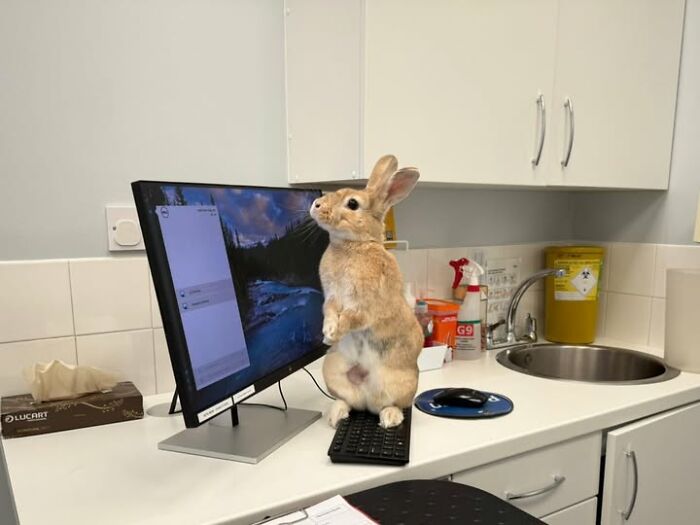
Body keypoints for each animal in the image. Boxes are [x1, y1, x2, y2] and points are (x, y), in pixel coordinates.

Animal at [309, 154, 423, 429]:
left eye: (352, 204)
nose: (316, 204)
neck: (352, 244)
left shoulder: (366, 306)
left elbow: (352, 319)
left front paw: (334, 333)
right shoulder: (331, 297)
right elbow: (330, 311)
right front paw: (328, 334)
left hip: (400, 385)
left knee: (390, 405)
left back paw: (390, 419)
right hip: (333, 370)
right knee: (350, 403)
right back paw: (336, 415)